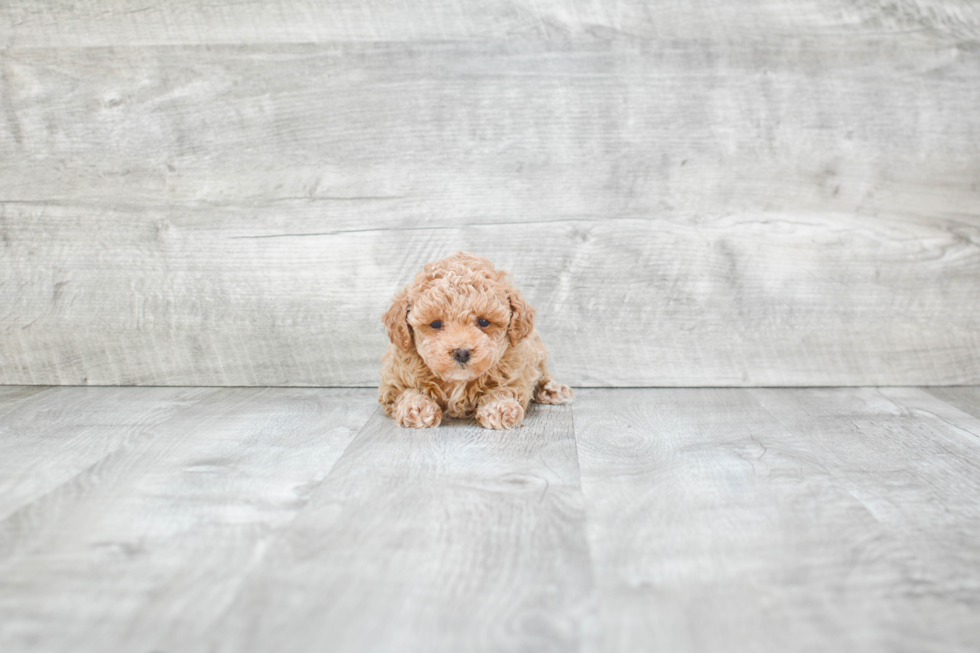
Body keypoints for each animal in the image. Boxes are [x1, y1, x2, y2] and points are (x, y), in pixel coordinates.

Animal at [378, 252, 576, 430]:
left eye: (484, 322)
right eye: (435, 323)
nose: (462, 352)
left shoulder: (517, 371)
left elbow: (505, 388)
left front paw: (500, 408)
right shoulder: (394, 379)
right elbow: (408, 391)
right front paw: (418, 408)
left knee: (544, 376)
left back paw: (554, 390)